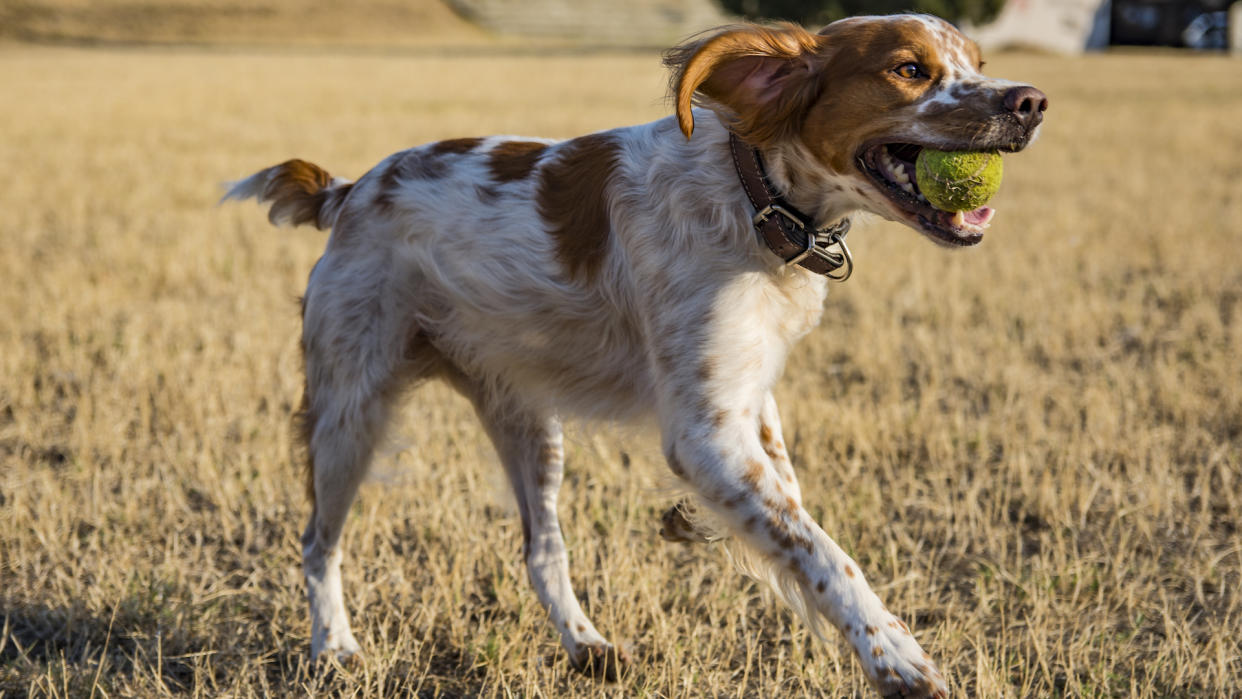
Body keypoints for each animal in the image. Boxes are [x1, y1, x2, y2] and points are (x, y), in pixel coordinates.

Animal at [226, 12, 1048, 699]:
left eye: (977, 62)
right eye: (909, 70)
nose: (1032, 101)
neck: (753, 195)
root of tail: (350, 190)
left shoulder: (747, 396)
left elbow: (791, 510)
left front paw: (703, 528)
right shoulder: (704, 434)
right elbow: (823, 551)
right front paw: (898, 659)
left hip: (528, 423)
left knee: (541, 550)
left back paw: (586, 645)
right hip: (349, 410)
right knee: (318, 542)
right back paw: (333, 648)